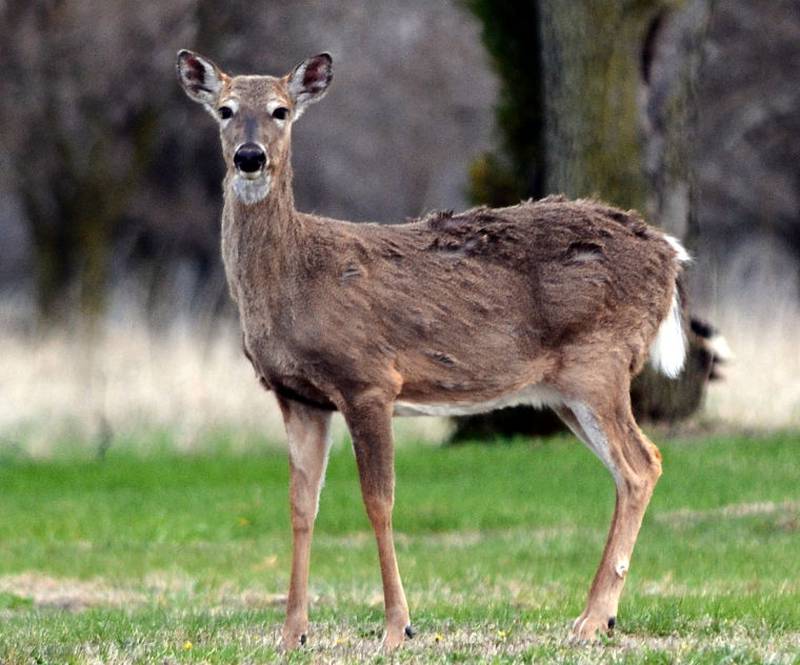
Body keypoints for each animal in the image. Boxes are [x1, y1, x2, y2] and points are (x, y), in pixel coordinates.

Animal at [177, 49, 690, 651]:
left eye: (280, 111)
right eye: (226, 110)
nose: (250, 157)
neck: (297, 279)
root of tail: (671, 255)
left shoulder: (369, 379)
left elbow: (379, 501)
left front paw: (398, 627)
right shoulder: (297, 396)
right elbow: (302, 504)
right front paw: (292, 634)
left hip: (599, 364)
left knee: (640, 465)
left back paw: (592, 618)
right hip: (566, 389)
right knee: (633, 468)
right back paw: (595, 615)